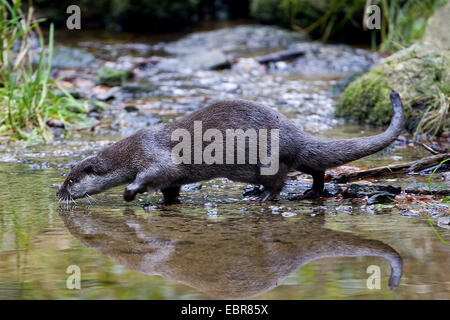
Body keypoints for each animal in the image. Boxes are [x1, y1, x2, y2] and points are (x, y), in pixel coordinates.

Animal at [56, 90, 404, 202]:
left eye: (70, 180)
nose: (58, 193)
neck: (130, 152)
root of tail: (294, 132)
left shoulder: (152, 155)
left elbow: (156, 174)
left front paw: (130, 193)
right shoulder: (169, 174)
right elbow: (171, 186)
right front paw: (167, 202)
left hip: (269, 156)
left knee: (278, 181)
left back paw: (262, 197)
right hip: (294, 156)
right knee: (316, 168)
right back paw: (310, 191)